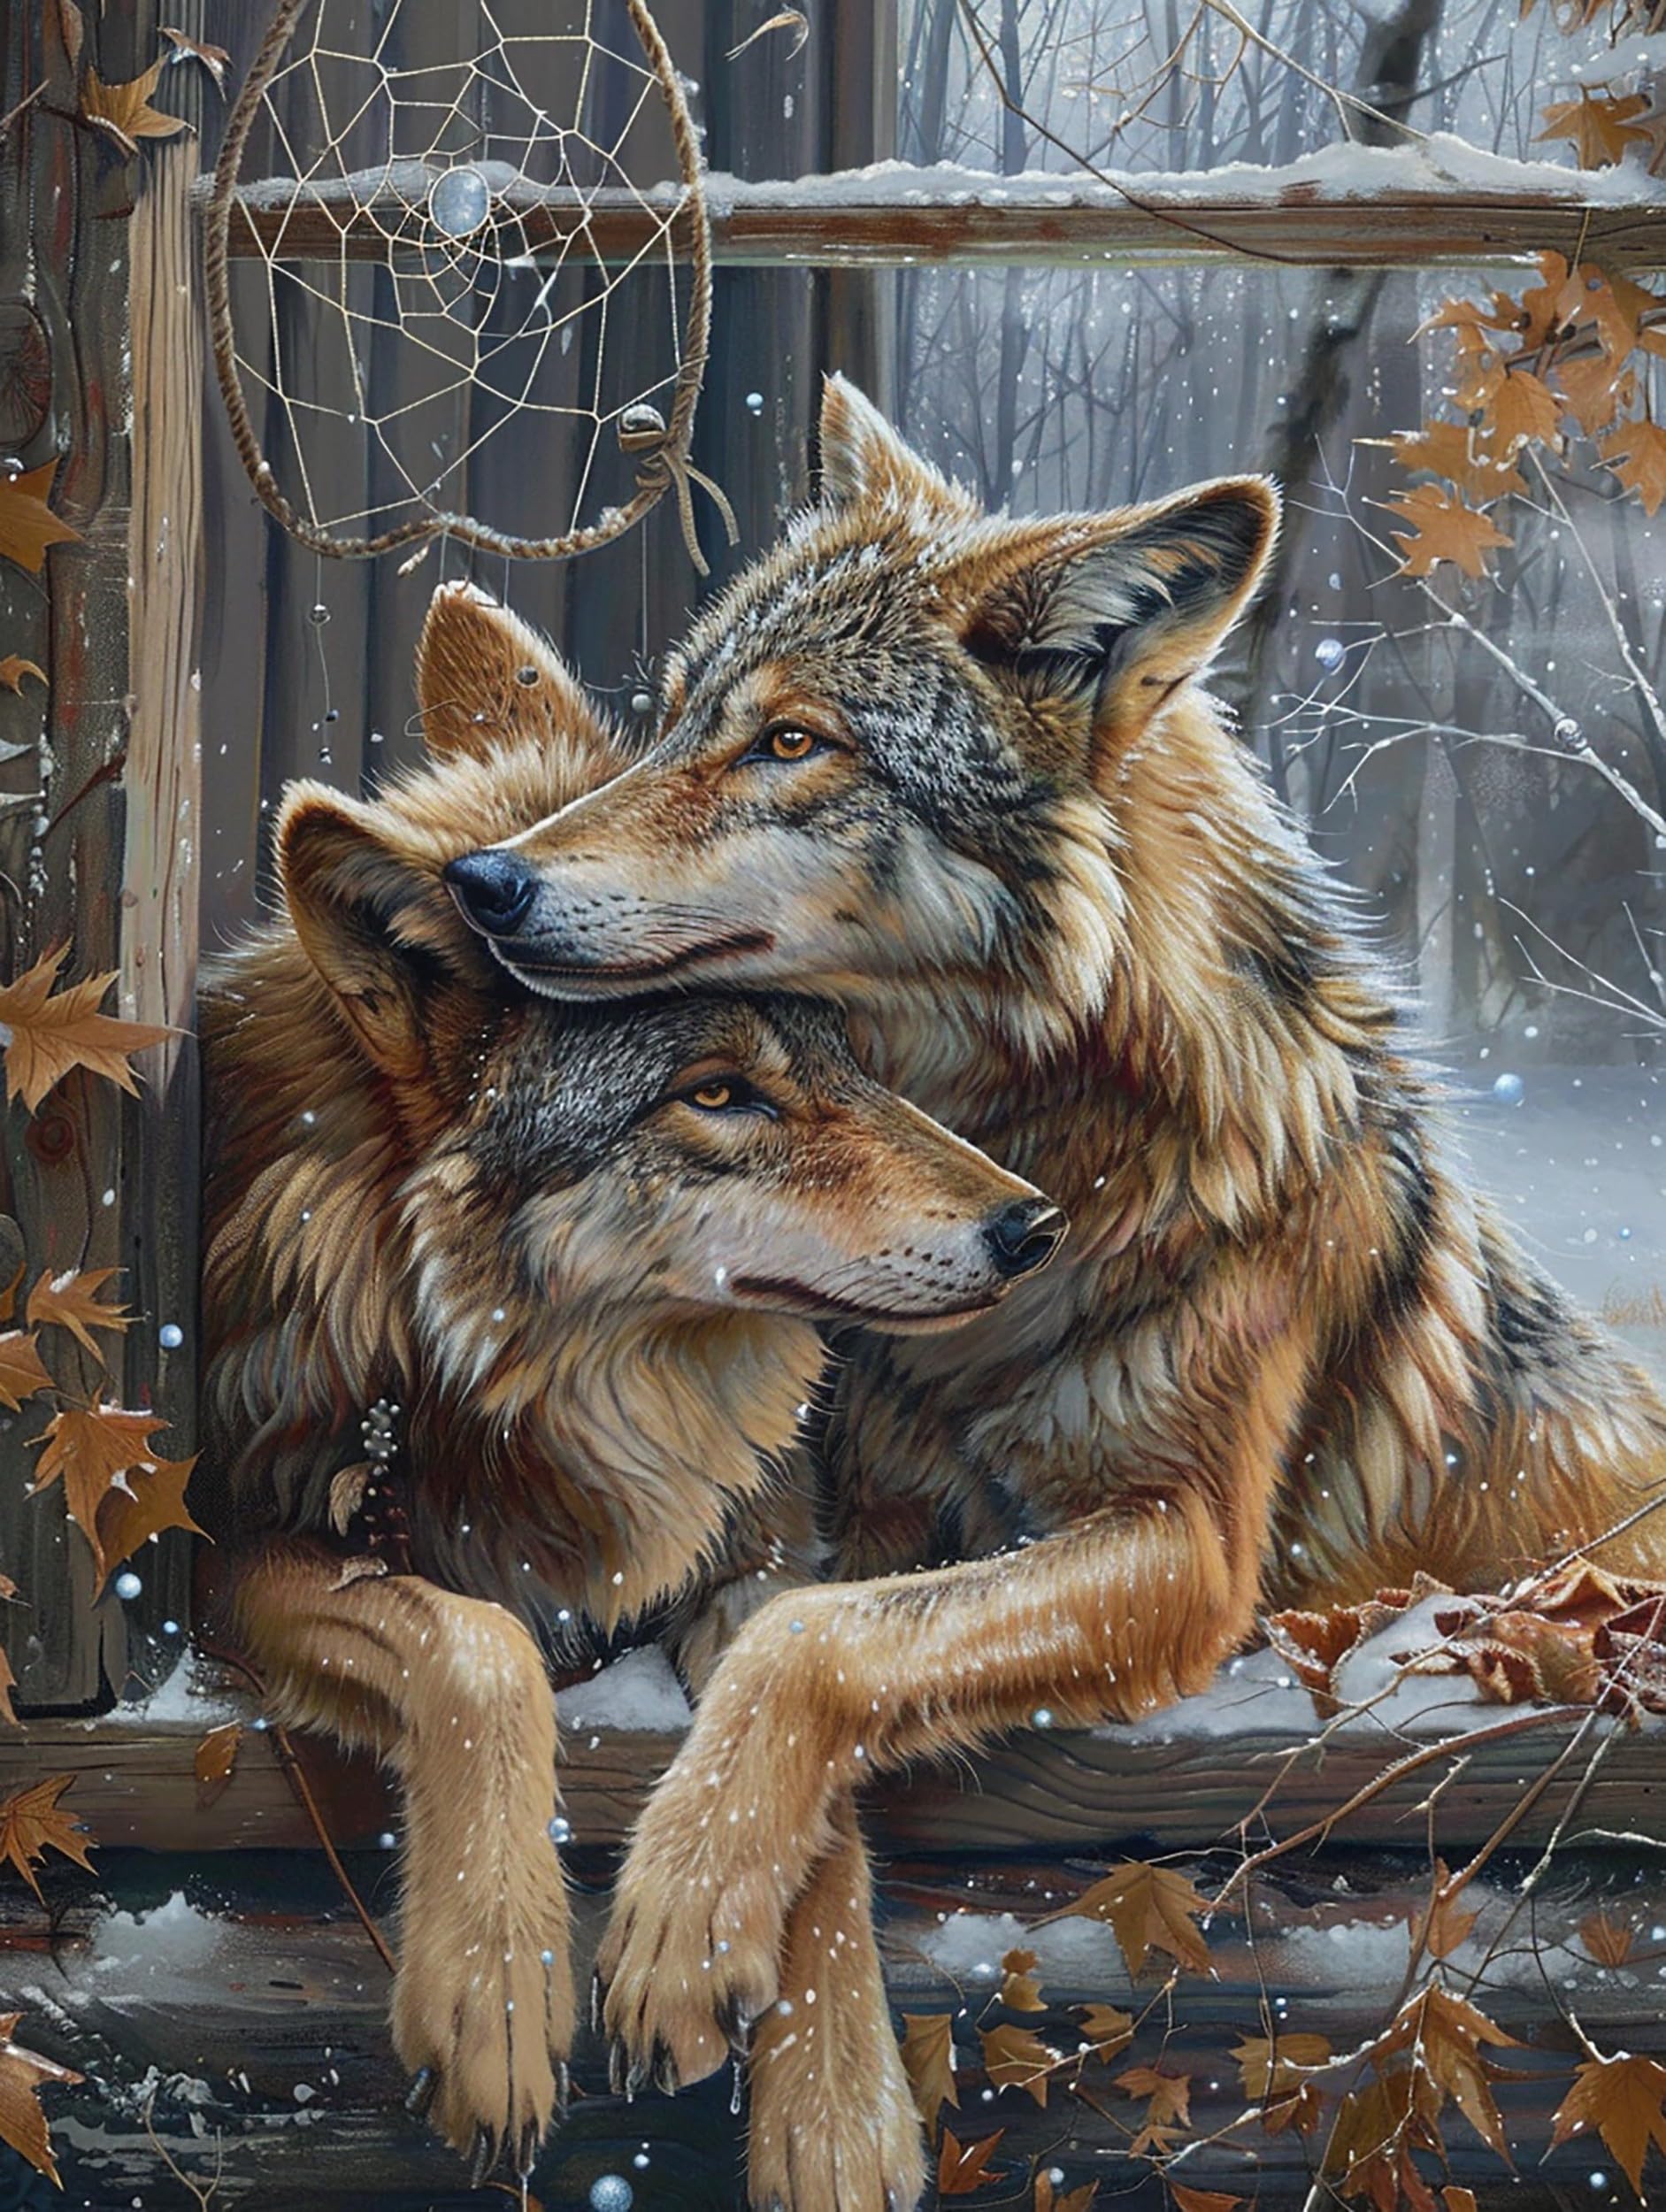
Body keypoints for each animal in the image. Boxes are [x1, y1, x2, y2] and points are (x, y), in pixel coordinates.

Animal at [197, 577, 1064, 2187]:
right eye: (716, 1094)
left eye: (841, 1052)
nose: (1032, 1228)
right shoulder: (235, 1550)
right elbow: (473, 1644)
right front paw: (495, 1983)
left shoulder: (759, 1551)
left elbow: (802, 1704)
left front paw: (817, 2095)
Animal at [447, 379, 1666, 2210]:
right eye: (667, 723)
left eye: (792, 744)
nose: (484, 884)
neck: (1033, 1168)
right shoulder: (821, 1525)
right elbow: (789, 1645)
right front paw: (802, 2066)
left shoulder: (1186, 1548)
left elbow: (818, 1648)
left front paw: (687, 1937)